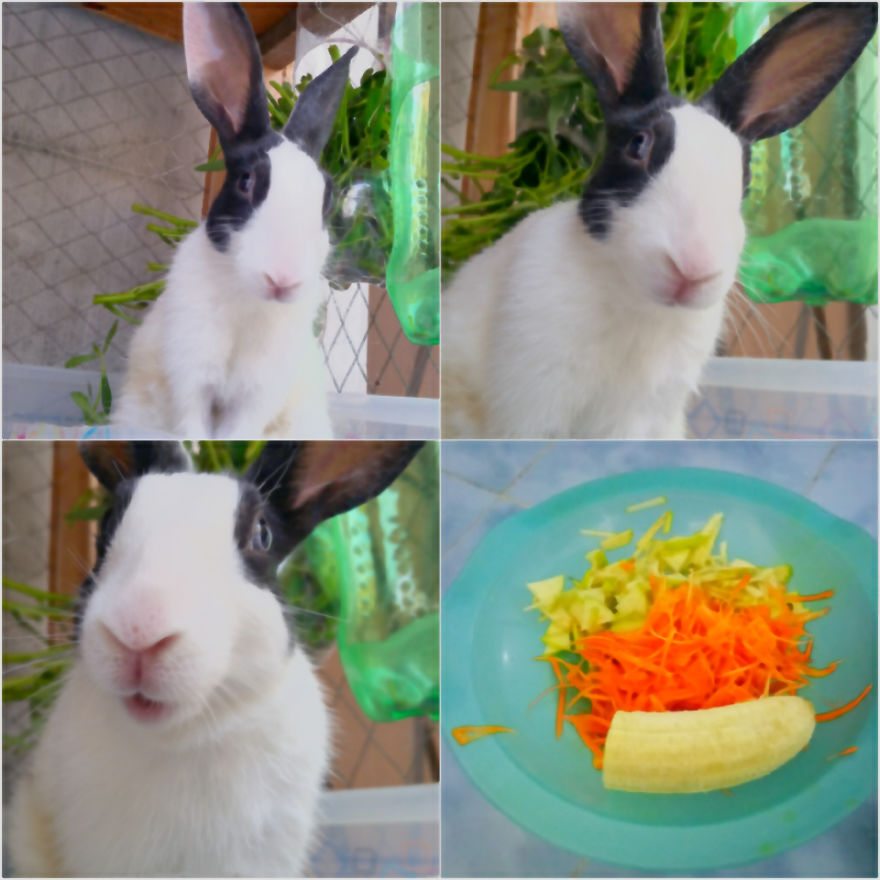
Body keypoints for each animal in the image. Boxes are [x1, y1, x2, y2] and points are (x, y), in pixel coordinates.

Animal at [112, 3, 358, 439]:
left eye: (327, 196)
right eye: (246, 182)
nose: (283, 278)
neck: (247, 297)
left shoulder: (256, 398)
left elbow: (235, 438)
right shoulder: (190, 377)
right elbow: (194, 432)